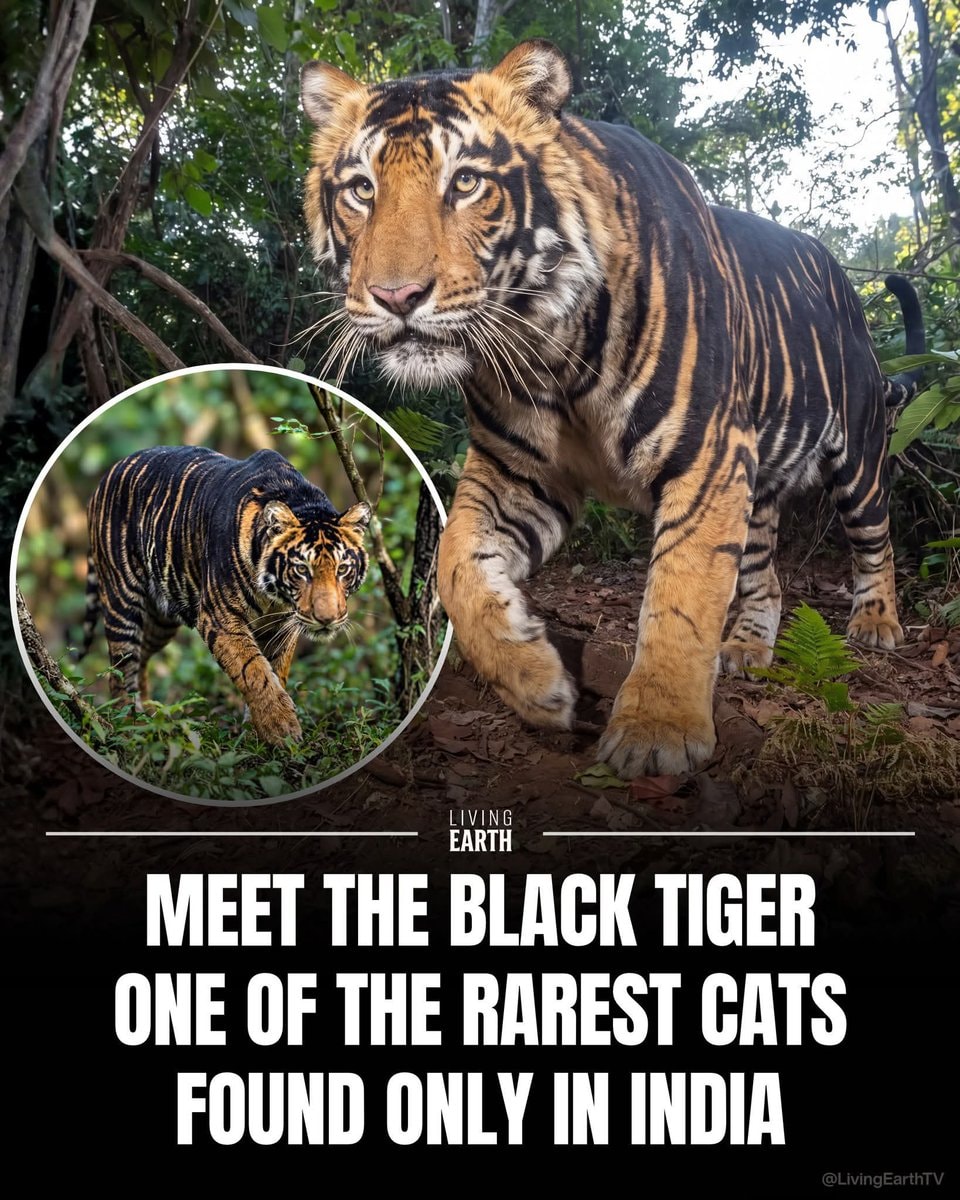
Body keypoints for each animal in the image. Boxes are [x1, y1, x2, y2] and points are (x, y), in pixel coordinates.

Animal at [80, 446, 370, 744]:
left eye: (342, 569)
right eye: (302, 569)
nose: (327, 619)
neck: (274, 596)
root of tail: (108, 474)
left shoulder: (282, 626)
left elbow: (276, 671)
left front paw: (258, 731)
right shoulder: (220, 619)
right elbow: (254, 670)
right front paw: (281, 729)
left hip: (161, 621)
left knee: (142, 657)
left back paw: (151, 717)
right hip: (123, 603)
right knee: (121, 669)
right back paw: (130, 727)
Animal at [299, 39, 925, 777]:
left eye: (467, 183)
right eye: (361, 189)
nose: (397, 296)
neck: (550, 349)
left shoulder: (708, 456)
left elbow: (682, 592)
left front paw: (658, 731)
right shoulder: (519, 472)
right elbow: (457, 568)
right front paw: (537, 683)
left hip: (857, 457)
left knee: (876, 541)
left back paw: (876, 624)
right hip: (759, 485)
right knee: (765, 578)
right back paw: (746, 648)